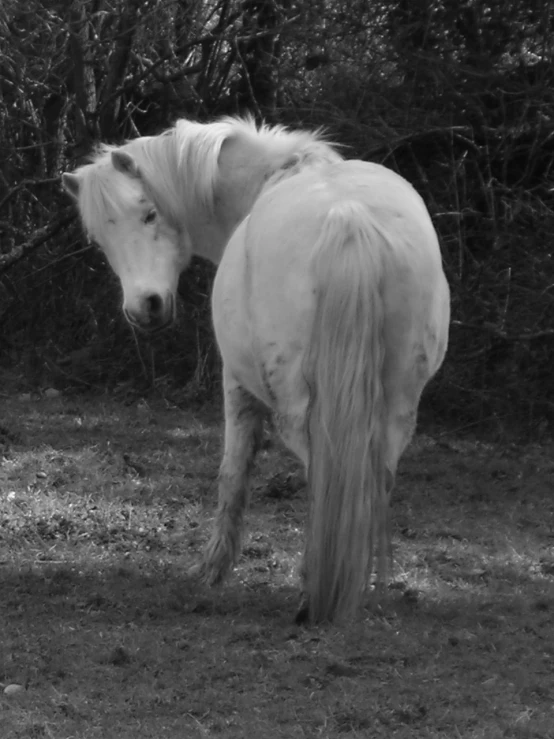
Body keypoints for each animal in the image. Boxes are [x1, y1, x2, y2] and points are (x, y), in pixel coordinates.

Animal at [62, 117, 448, 624]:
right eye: (100, 239)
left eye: (148, 214)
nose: (144, 308)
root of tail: (347, 219)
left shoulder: (235, 381)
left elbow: (233, 471)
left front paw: (212, 569)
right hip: (399, 401)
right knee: (376, 474)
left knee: (322, 474)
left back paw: (313, 591)